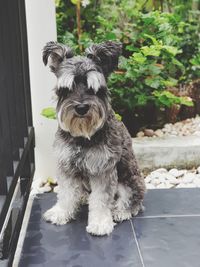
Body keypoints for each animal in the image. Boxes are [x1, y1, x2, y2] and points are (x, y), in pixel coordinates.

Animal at [42, 40, 145, 236]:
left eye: (94, 89)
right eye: (66, 89)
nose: (81, 108)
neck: (83, 136)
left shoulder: (103, 169)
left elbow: (101, 199)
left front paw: (99, 223)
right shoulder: (66, 166)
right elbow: (66, 193)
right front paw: (61, 213)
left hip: (130, 180)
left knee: (132, 200)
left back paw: (121, 211)